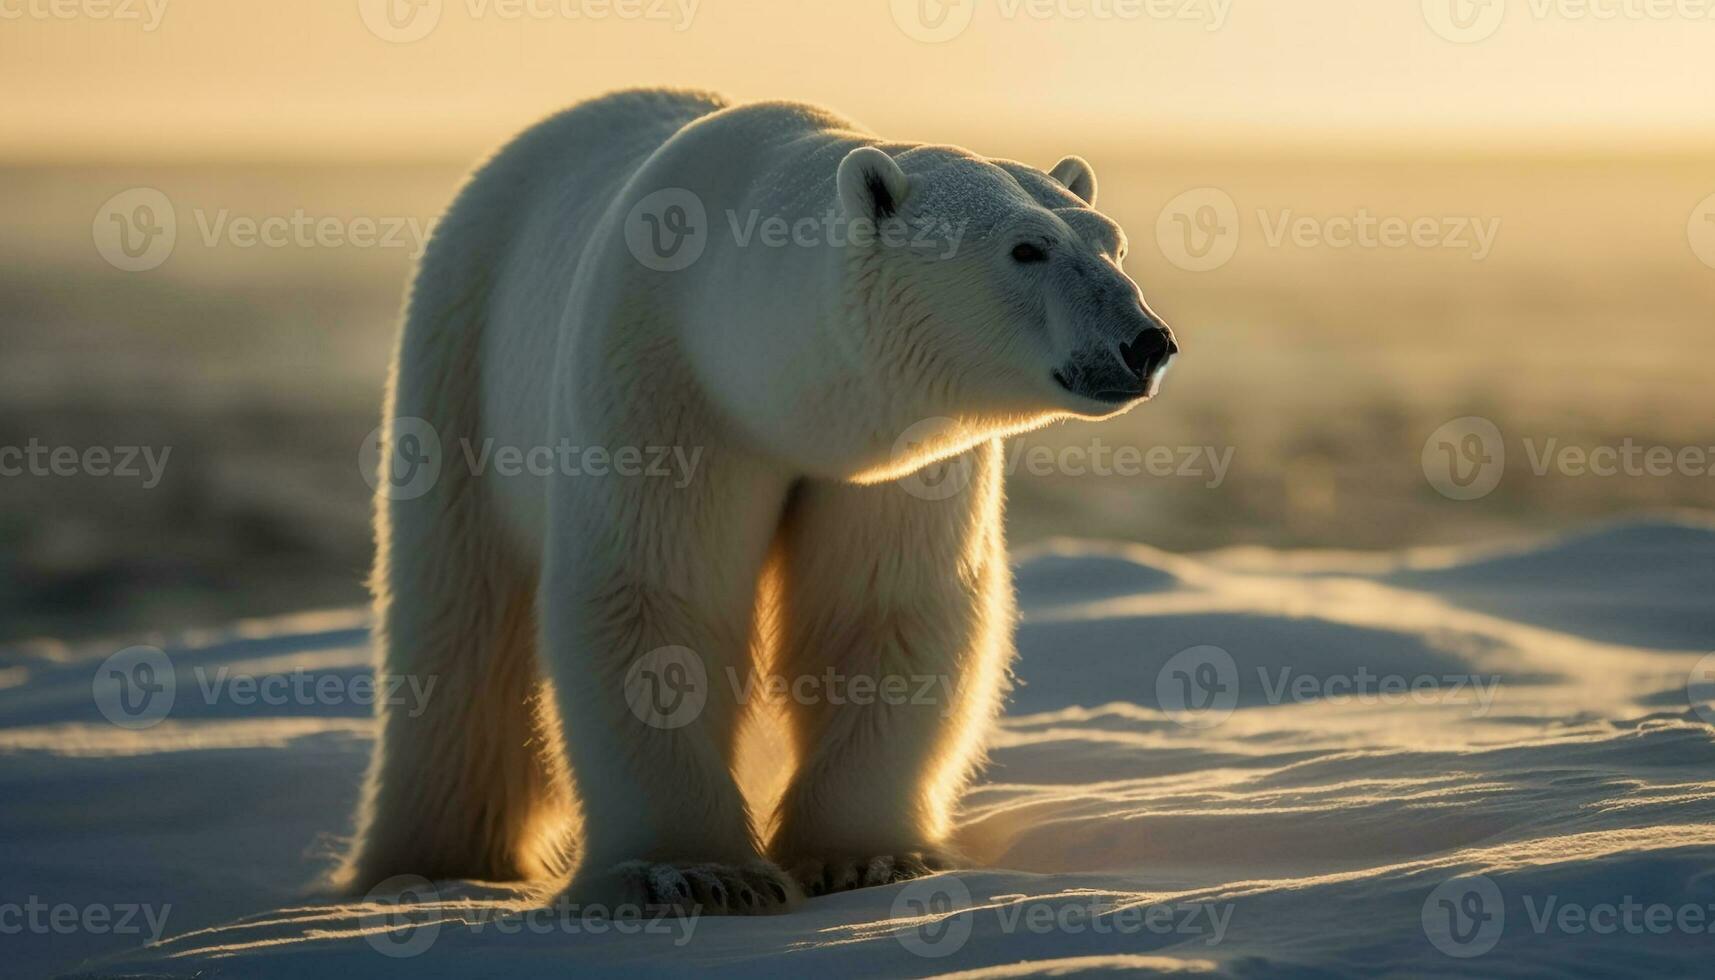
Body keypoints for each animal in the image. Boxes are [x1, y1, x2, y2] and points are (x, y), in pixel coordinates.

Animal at [343, 88, 1186, 919]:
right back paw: (430, 861)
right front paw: (693, 874)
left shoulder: (896, 463)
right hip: (463, 356)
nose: (1145, 342)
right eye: (1026, 249)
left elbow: (883, 611)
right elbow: (654, 601)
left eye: (1111, 245)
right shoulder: (659, 387)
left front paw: (866, 858)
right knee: (457, 617)